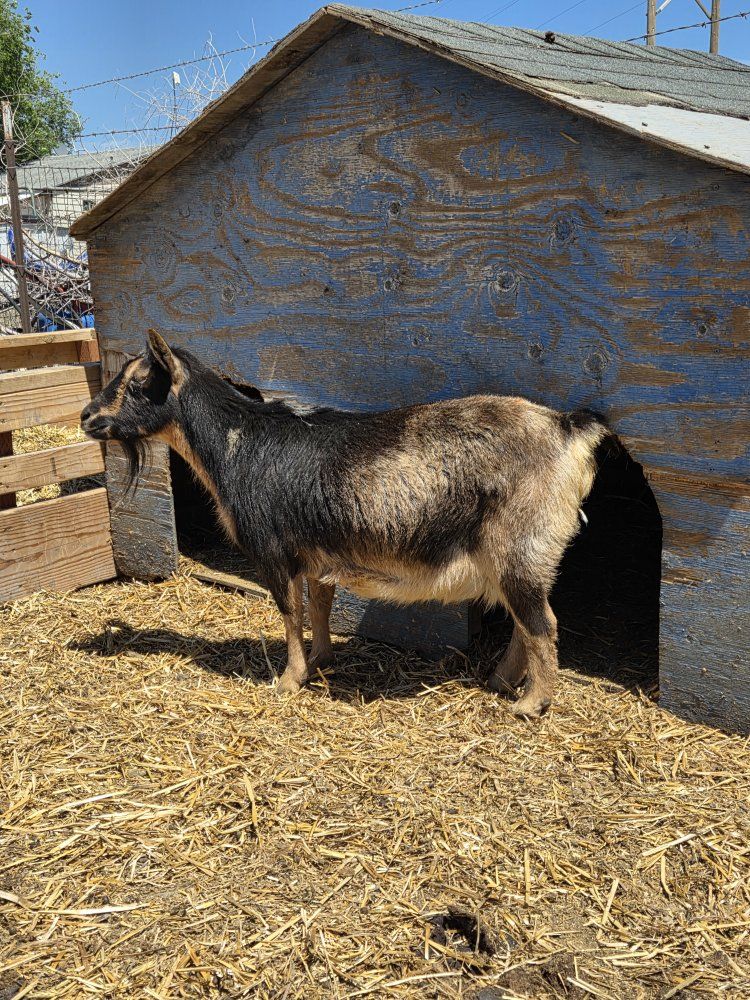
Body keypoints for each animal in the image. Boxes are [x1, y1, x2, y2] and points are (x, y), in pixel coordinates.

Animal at [81, 330, 611, 717]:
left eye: (136, 384)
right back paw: (500, 682)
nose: (87, 416)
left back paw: (531, 703)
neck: (238, 443)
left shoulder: (273, 551)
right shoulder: (316, 553)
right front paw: (320, 660)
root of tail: (568, 428)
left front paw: (288, 681)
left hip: (520, 546)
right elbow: (319, 606)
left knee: (542, 623)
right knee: (525, 622)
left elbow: (289, 612)